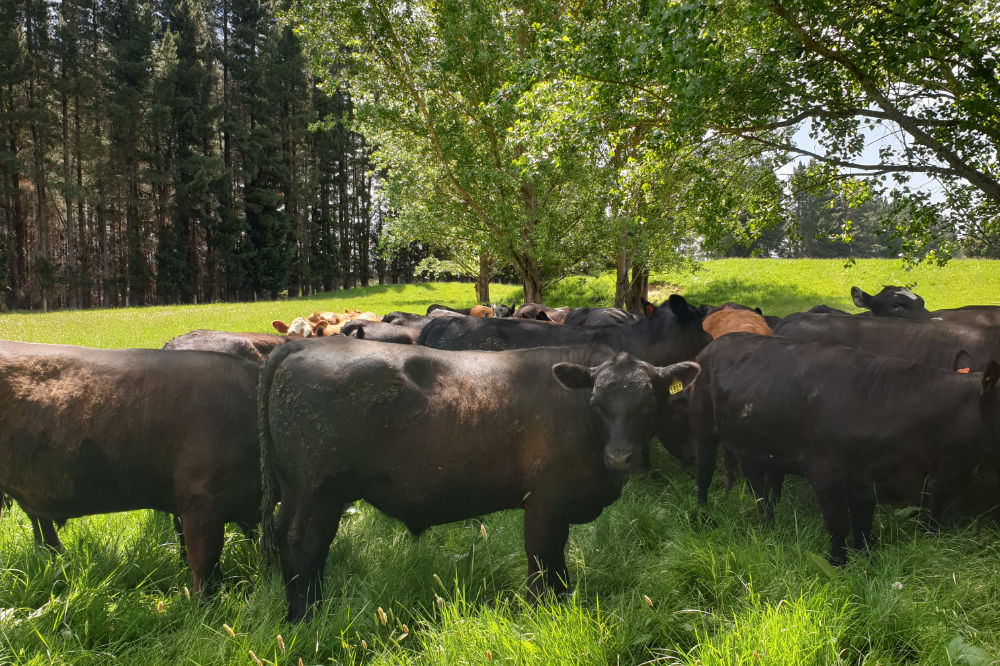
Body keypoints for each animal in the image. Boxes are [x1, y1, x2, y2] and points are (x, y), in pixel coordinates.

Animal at [256, 334, 696, 620]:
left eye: (650, 401)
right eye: (597, 401)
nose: (620, 456)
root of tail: (300, 345)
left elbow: (558, 563)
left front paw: (563, 600)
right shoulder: (544, 501)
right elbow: (542, 557)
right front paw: (541, 611)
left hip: (296, 490)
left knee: (281, 535)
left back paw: (293, 612)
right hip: (318, 492)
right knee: (305, 543)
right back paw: (310, 614)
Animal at [692, 334, 1000, 564]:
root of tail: (713, 344)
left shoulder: (866, 478)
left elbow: (863, 524)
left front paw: (864, 559)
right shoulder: (824, 471)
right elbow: (838, 521)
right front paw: (837, 563)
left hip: (754, 445)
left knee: (758, 488)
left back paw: (768, 525)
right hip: (704, 426)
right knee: (704, 471)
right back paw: (702, 515)